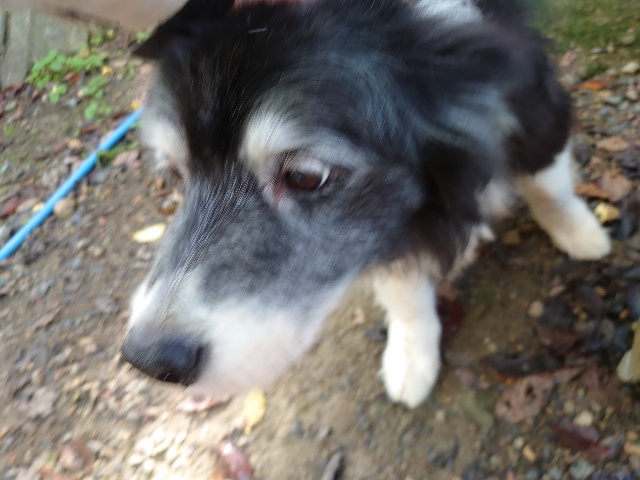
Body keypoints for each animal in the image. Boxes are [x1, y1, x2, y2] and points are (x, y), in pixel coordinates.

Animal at [121, 0, 611, 409]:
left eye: (305, 175)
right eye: (176, 175)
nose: (150, 359)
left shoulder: (529, 96)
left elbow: (547, 180)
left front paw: (578, 231)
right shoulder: (383, 229)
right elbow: (402, 288)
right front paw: (412, 353)